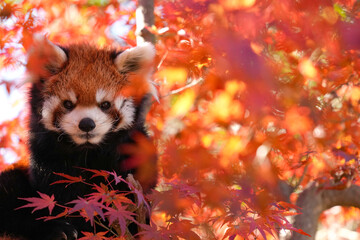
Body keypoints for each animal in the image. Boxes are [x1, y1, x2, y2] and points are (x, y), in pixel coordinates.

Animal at [0, 36, 158, 240]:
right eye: (68, 104)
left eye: (105, 104)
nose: (87, 124)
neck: (87, 152)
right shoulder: (47, 160)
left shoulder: (134, 156)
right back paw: (58, 230)